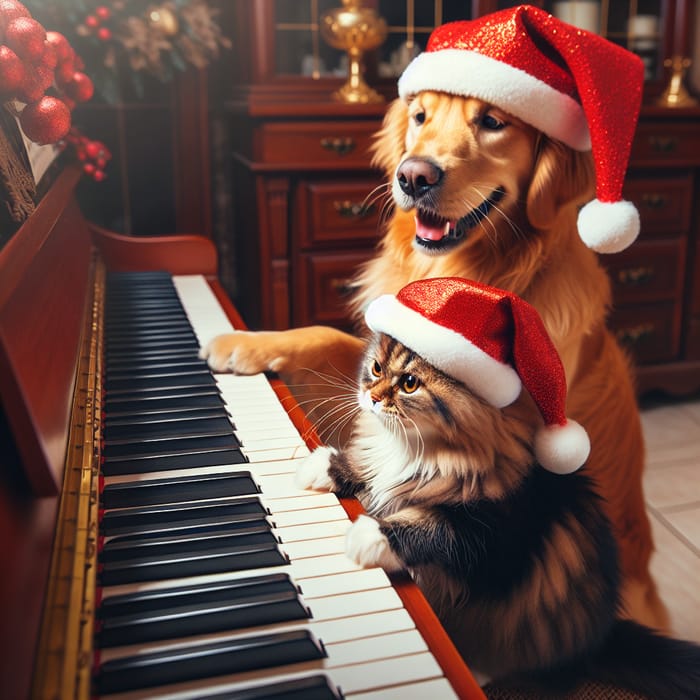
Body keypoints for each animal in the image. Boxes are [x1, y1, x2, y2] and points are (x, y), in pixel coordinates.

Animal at [296, 278, 700, 700]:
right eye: (375, 368)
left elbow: (430, 524)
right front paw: (319, 467)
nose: (371, 398)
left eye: (409, 383)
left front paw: (369, 535)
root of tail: (602, 637)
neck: (418, 451)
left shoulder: (490, 537)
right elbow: (363, 470)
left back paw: (479, 671)